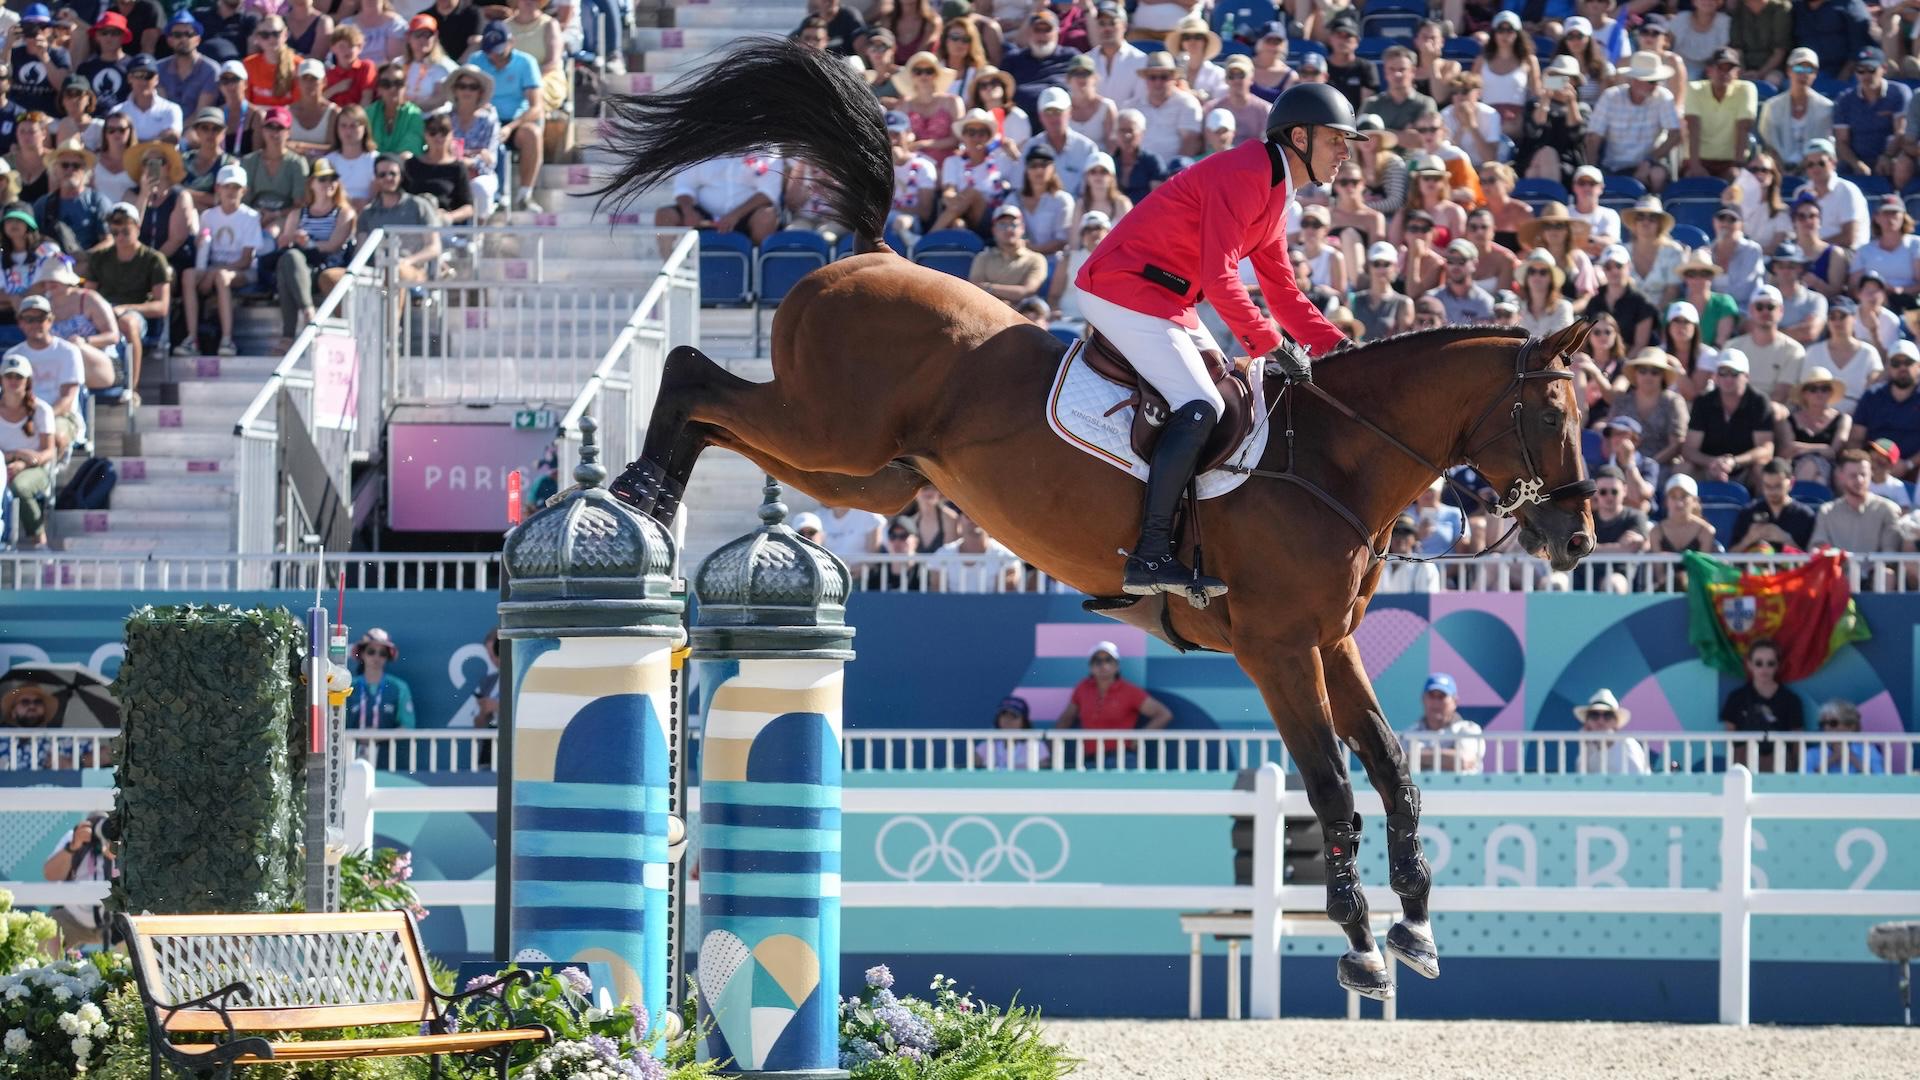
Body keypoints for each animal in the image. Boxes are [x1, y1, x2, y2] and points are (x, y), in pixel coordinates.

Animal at [595, 42, 1589, 999]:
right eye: (1552, 416)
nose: (1577, 541)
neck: (1335, 457)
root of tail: (871, 254)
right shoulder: (1277, 649)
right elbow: (1332, 784)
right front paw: (1360, 948)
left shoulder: (1332, 641)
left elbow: (1394, 774)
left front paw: (1415, 927)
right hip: (831, 428)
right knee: (691, 371)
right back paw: (640, 491)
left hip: (864, 476)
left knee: (723, 418)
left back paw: (655, 497)